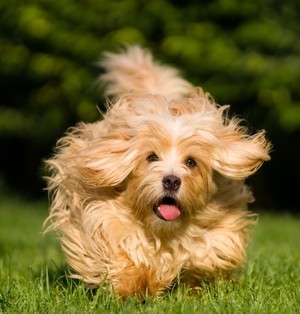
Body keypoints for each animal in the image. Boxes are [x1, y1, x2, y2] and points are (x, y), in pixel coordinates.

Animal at [45, 46, 272, 300]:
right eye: (151, 157)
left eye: (191, 162)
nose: (171, 180)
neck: (163, 231)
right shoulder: (102, 219)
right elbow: (122, 251)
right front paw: (135, 284)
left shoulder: (218, 235)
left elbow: (202, 258)